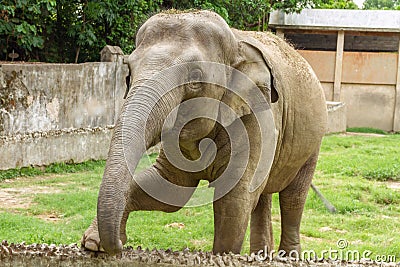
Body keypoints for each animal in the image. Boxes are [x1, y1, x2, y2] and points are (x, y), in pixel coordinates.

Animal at [79, 10, 326, 258]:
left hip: (313, 142)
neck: (236, 43)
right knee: (262, 196)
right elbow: (171, 186)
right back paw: (260, 257)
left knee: (293, 198)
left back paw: (290, 256)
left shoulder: (256, 117)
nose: (120, 248)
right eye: (128, 73)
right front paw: (93, 243)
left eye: (195, 76)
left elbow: (234, 201)